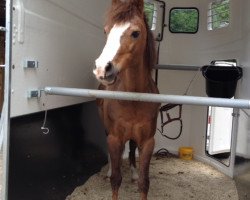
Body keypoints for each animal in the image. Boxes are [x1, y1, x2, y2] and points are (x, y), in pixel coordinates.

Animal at [93, 0, 159, 199]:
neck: (132, 99)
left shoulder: (148, 142)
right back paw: (108, 172)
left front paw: (137, 176)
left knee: (130, 151)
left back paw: (133, 172)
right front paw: (111, 174)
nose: (102, 68)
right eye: (106, 31)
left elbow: (144, 183)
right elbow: (116, 179)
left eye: (135, 33)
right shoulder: (114, 138)